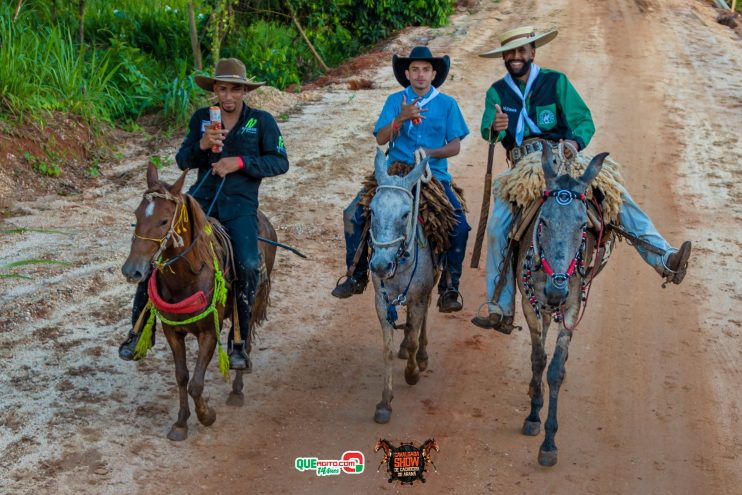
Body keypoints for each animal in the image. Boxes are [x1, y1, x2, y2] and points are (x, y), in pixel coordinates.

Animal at [123, 164, 278, 442]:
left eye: (164, 220)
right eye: (137, 215)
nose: (132, 270)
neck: (187, 278)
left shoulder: (208, 333)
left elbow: (196, 384)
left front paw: (207, 416)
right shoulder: (172, 331)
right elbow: (182, 377)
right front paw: (181, 423)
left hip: (252, 300)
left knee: (245, 340)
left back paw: (237, 386)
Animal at [516, 145, 612, 466]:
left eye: (583, 225)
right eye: (543, 221)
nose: (556, 289)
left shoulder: (571, 308)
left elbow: (555, 369)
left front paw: (549, 443)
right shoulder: (528, 302)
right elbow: (537, 358)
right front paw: (534, 415)